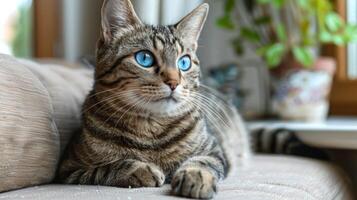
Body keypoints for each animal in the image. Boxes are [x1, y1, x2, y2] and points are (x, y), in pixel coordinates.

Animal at [58, 0, 249, 198]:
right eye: (144, 58)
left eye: (184, 62)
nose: (174, 82)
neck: (152, 129)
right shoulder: (69, 170)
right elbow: (106, 167)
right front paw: (140, 169)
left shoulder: (215, 151)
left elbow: (202, 161)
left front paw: (196, 176)